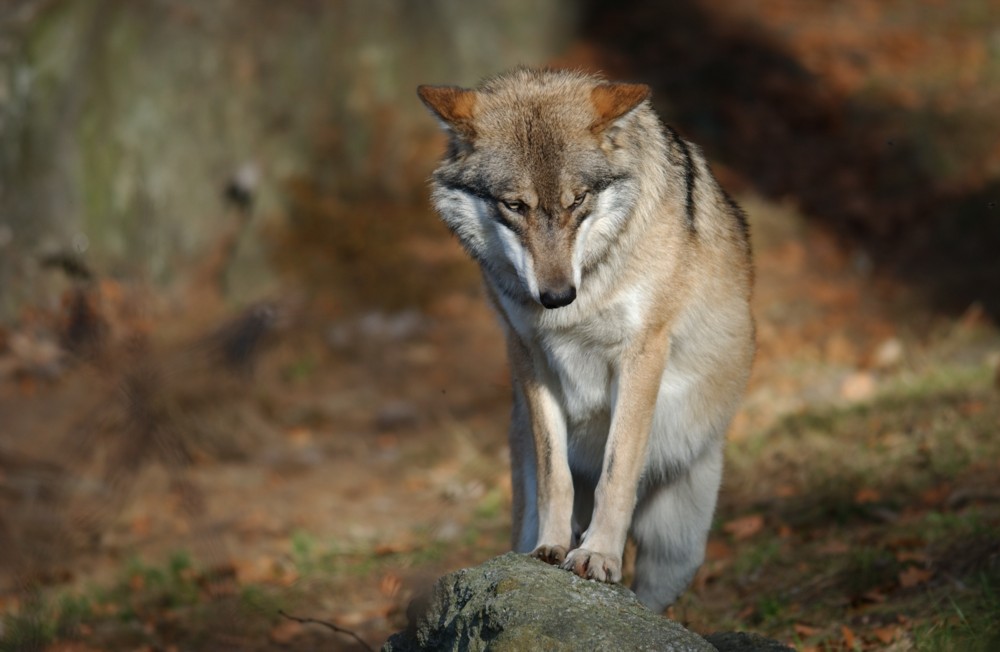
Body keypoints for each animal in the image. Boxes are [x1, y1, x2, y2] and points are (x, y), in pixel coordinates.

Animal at [418, 67, 752, 612]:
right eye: (515, 206)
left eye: (577, 201)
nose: (556, 296)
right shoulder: (530, 357)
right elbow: (556, 474)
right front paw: (554, 548)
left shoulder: (642, 353)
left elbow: (617, 470)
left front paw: (597, 555)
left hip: (676, 547)